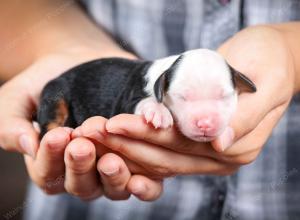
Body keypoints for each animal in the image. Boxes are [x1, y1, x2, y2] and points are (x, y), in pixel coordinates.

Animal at [37, 49, 256, 142]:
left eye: (224, 96)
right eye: (182, 97)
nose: (205, 124)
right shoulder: (127, 100)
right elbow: (145, 101)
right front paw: (159, 112)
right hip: (54, 92)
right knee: (47, 126)